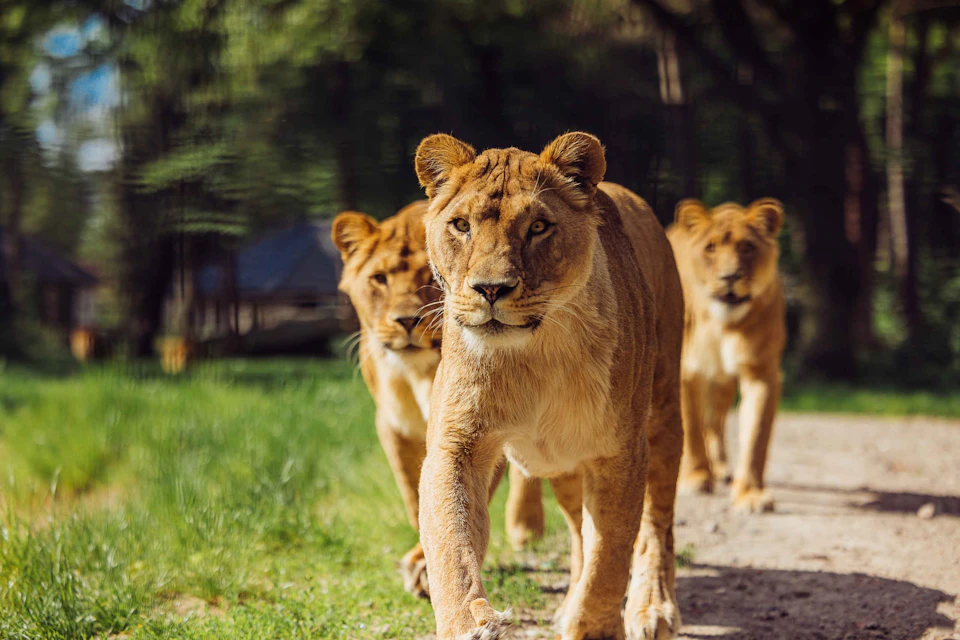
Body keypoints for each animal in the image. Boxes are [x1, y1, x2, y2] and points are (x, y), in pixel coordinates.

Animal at [332, 202, 544, 600]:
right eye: (380, 279)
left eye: (429, 276)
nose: (406, 320)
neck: (417, 373)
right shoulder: (393, 424)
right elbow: (416, 496)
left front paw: (425, 569)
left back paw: (526, 526)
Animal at [413, 132, 685, 640]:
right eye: (460, 225)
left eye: (538, 227)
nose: (491, 289)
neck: (533, 355)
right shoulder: (457, 443)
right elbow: (451, 545)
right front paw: (469, 623)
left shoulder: (619, 451)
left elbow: (611, 552)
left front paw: (594, 626)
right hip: (562, 462)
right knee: (578, 530)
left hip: (662, 412)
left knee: (655, 525)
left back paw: (652, 606)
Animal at [666, 198, 786, 513]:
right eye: (710, 248)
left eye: (747, 247)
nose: (729, 277)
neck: (722, 325)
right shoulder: (685, 372)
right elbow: (691, 429)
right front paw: (696, 478)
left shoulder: (761, 372)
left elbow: (756, 436)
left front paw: (750, 494)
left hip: (722, 383)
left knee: (716, 422)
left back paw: (720, 467)